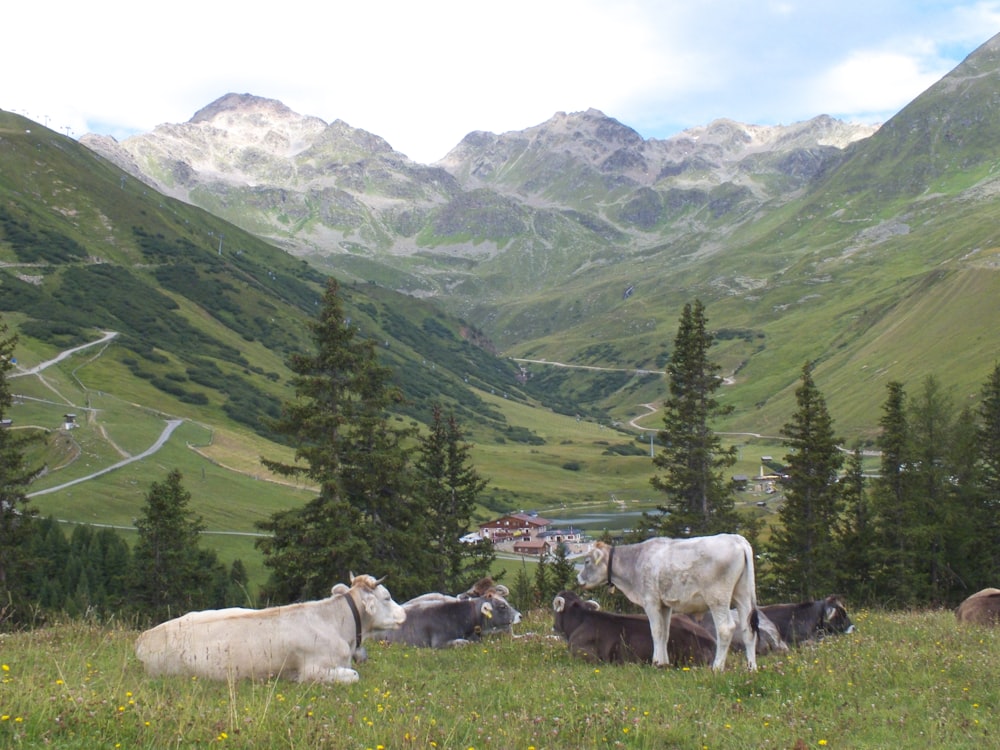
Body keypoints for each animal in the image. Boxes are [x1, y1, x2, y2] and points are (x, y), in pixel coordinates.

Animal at [580, 536, 756, 672]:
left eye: (587, 561)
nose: (579, 578)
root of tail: (737, 540)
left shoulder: (650, 601)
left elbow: (656, 631)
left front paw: (656, 662)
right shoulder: (664, 605)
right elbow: (665, 632)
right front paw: (664, 662)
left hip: (718, 597)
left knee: (726, 628)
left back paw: (717, 667)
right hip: (743, 595)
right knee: (748, 630)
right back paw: (751, 668)